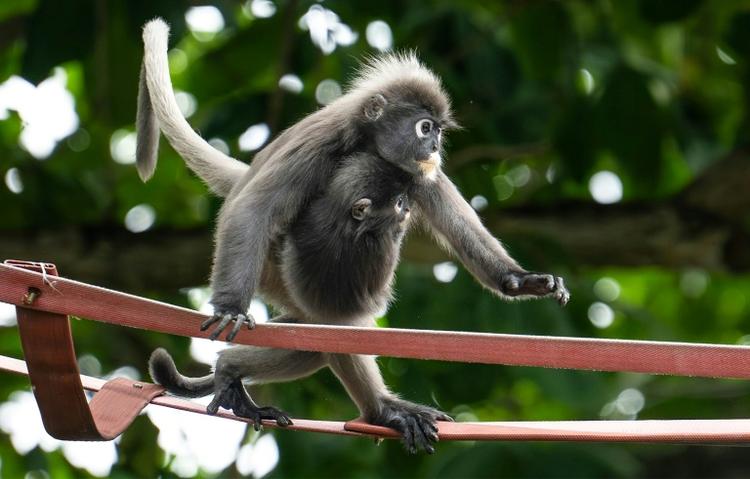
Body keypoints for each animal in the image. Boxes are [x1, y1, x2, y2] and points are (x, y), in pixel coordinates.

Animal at [137, 18, 569, 453]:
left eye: (439, 132)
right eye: (425, 127)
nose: (435, 145)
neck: (368, 143)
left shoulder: (415, 172)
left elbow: (458, 226)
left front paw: (520, 281)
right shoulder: (324, 142)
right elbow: (255, 212)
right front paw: (230, 307)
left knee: (312, 334)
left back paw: (233, 371)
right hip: (274, 269)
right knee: (332, 315)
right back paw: (381, 410)